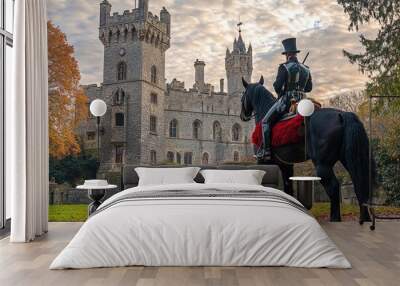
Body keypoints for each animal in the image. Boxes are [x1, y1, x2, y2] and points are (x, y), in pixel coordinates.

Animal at [241, 76, 376, 223]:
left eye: (243, 95)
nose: (243, 116)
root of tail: (342, 114)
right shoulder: (286, 164)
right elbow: (288, 188)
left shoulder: (264, 162)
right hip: (348, 158)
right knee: (359, 183)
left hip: (322, 165)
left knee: (334, 188)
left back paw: (334, 219)